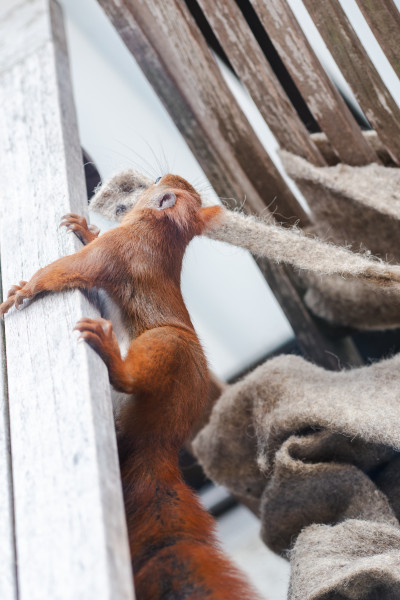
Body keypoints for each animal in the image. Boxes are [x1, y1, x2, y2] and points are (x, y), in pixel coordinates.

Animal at [1, 175, 262, 600]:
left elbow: (67, 269)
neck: (160, 235)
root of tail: (159, 439)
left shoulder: (115, 251)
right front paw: (83, 227)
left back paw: (109, 352)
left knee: (129, 377)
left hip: (166, 347)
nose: (156, 177)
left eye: (155, 182)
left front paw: (24, 290)